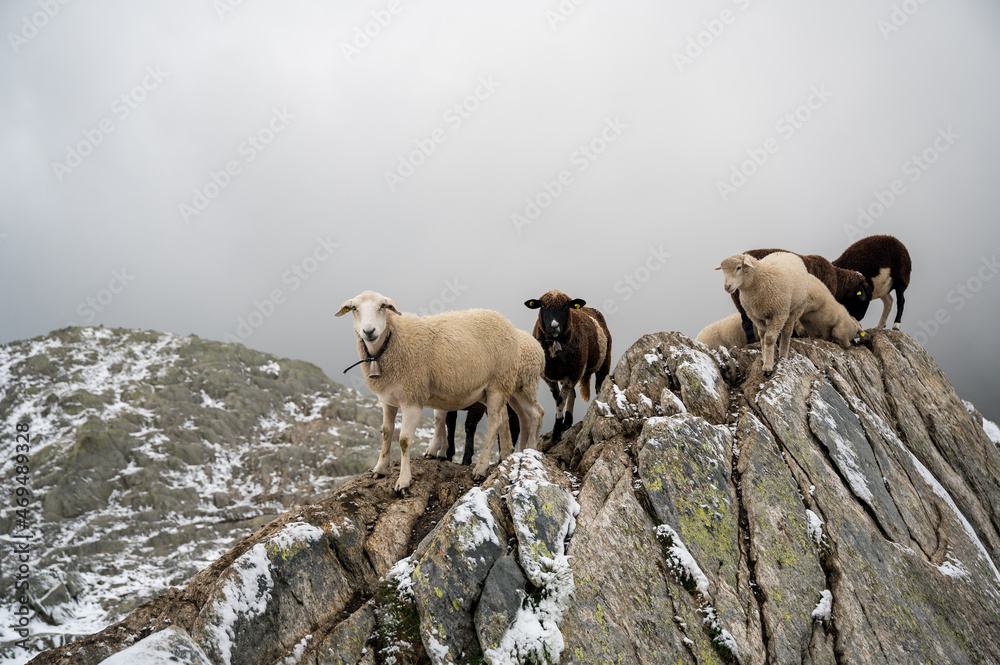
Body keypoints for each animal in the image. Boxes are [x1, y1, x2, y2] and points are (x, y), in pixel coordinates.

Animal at [337, 290, 540, 491]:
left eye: (382, 306)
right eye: (354, 308)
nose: (369, 331)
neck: (391, 341)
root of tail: (505, 320)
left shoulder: (412, 399)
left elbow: (404, 440)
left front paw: (403, 481)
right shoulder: (387, 400)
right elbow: (387, 432)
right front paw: (379, 468)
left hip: (500, 383)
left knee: (499, 422)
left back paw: (484, 466)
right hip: (498, 388)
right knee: (511, 416)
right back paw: (508, 454)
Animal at [525, 290, 612, 442]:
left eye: (566, 306)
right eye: (543, 305)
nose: (554, 327)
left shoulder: (573, 372)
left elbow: (560, 400)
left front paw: (556, 433)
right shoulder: (548, 377)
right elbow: (557, 398)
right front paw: (560, 426)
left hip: (603, 363)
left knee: (599, 387)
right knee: (572, 393)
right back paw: (568, 422)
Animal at [729, 248, 872, 343]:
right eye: (864, 298)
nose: (860, 317)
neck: (837, 278)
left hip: (743, 304)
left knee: (747, 324)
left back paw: (752, 342)